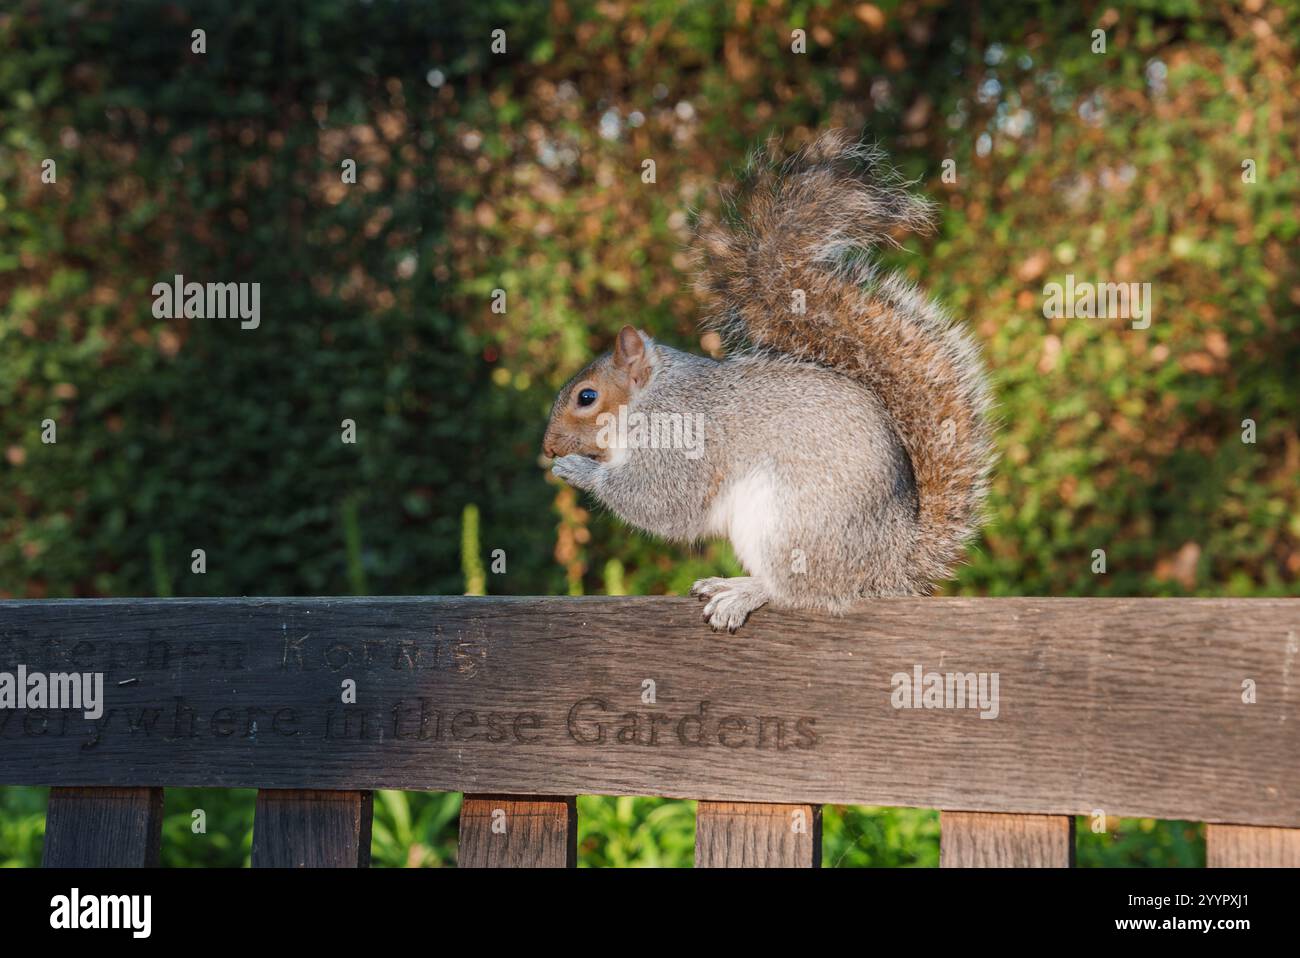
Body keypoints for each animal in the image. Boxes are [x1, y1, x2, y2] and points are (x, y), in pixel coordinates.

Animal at [538, 130, 993, 631]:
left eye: (587, 396)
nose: (549, 447)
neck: (649, 398)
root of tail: (887, 567)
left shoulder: (682, 441)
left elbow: (664, 500)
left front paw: (579, 471)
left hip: (788, 525)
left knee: (796, 591)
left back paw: (744, 593)